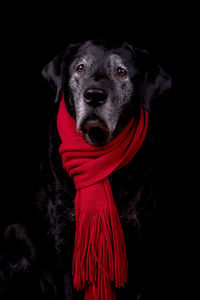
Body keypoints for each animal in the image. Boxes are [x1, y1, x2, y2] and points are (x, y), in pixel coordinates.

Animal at [0, 40, 172, 300]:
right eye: (80, 68)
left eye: (121, 72)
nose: (94, 96)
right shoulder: (65, 242)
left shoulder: (141, 241)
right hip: (16, 240)